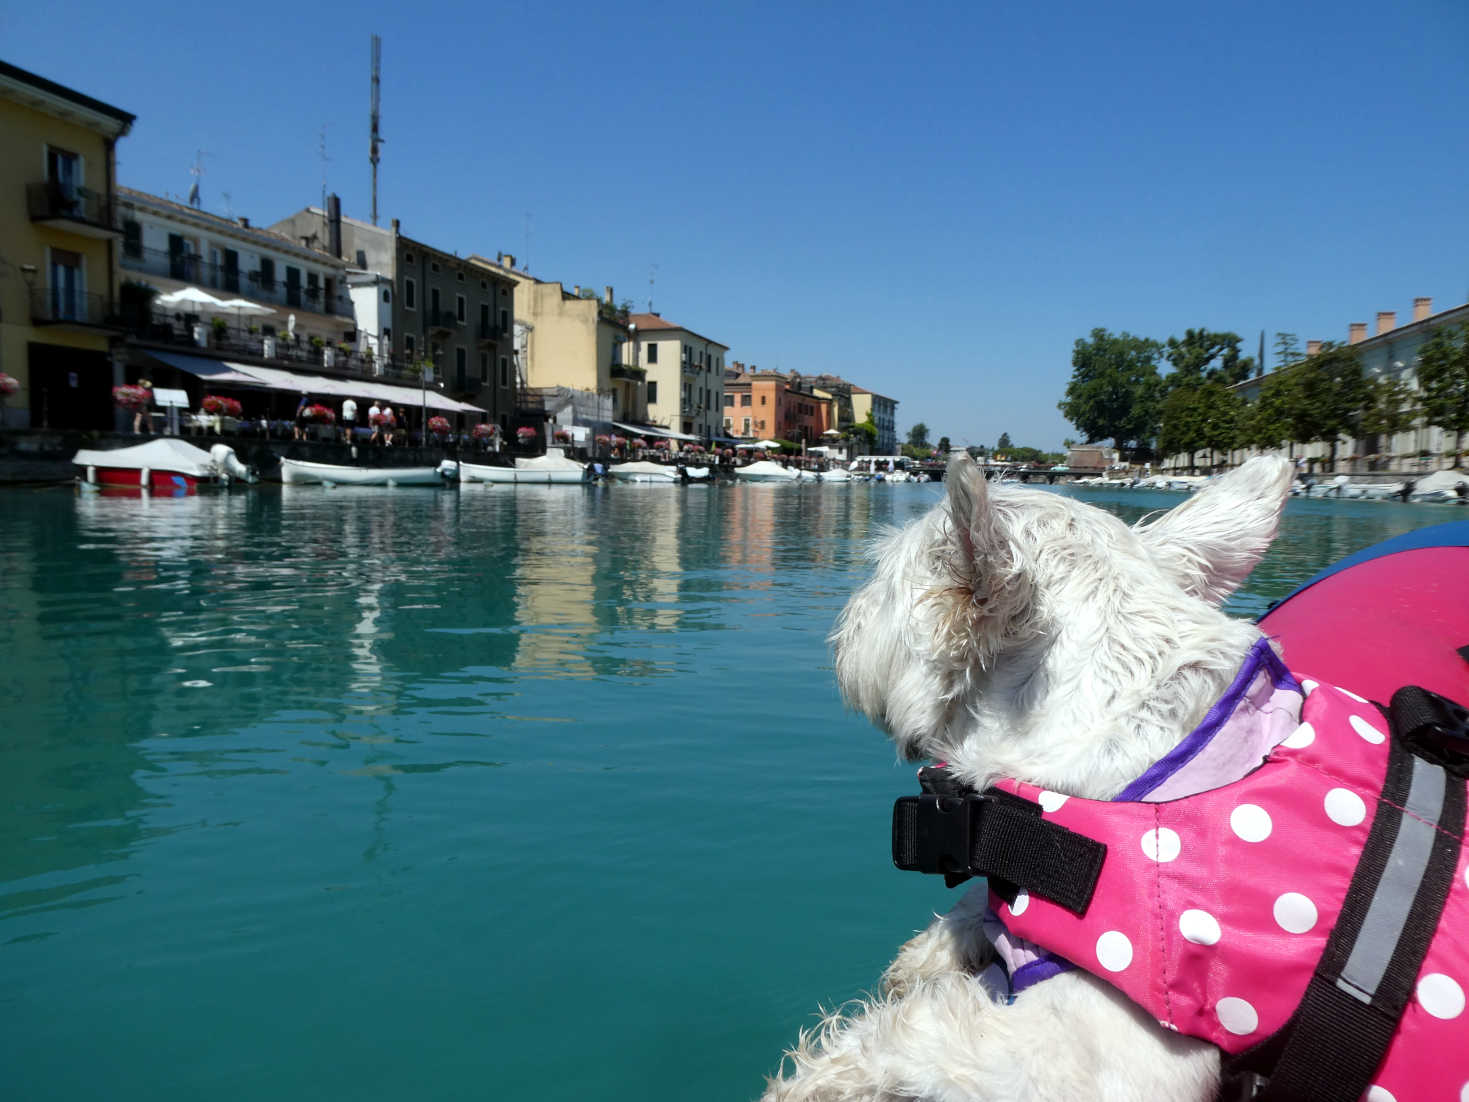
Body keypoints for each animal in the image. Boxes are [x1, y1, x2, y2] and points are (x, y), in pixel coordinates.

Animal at [763, 452, 1292, 1102]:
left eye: (883, 579)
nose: (845, 626)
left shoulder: (1107, 1059)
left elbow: (908, 1038)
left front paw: (809, 1081)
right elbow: (985, 898)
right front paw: (937, 947)